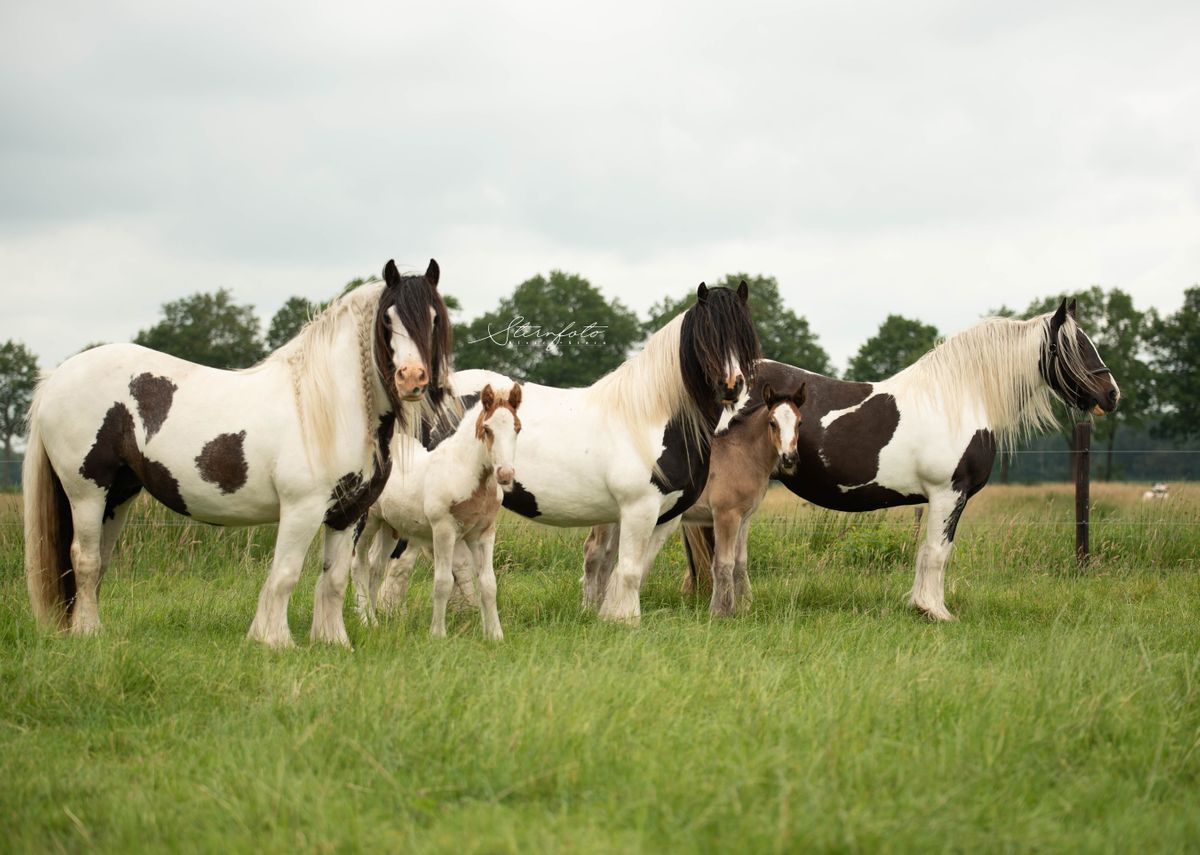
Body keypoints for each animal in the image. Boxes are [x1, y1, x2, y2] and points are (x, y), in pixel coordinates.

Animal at [23, 259, 453, 648]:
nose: (412, 378)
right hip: (87, 492)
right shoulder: (302, 509)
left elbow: (333, 578)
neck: (327, 405)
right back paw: (87, 633)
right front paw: (274, 641)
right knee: (85, 558)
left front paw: (332, 641)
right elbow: (285, 574)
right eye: (387, 320)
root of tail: (56, 376)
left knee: (100, 561)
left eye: (434, 318)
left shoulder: (349, 513)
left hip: (119, 495)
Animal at [352, 383, 522, 641]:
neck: (465, 471)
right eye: (487, 428)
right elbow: (443, 581)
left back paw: (374, 621)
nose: (505, 474)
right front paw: (437, 634)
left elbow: (488, 583)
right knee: (358, 564)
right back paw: (364, 620)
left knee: (375, 566)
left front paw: (495, 635)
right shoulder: (443, 531)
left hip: (390, 527)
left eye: (517, 428)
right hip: (367, 522)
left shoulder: (483, 534)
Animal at [448, 281, 761, 623]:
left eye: (744, 333)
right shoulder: (639, 509)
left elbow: (630, 568)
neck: (653, 419)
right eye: (706, 336)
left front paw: (608, 615)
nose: (731, 385)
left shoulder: (666, 516)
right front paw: (626, 620)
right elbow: (629, 571)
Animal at [582, 380, 807, 617]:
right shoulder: (725, 515)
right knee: (594, 552)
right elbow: (723, 563)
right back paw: (589, 607)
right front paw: (720, 612)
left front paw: (742, 608)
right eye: (773, 423)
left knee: (607, 556)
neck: (742, 456)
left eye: (800, 422)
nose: (789, 458)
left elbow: (740, 562)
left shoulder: (744, 518)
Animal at [680, 298, 1120, 620]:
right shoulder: (948, 494)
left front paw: (923, 606)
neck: (958, 398)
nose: (1112, 393)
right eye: (1075, 346)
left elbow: (930, 552)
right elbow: (937, 553)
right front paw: (934, 611)